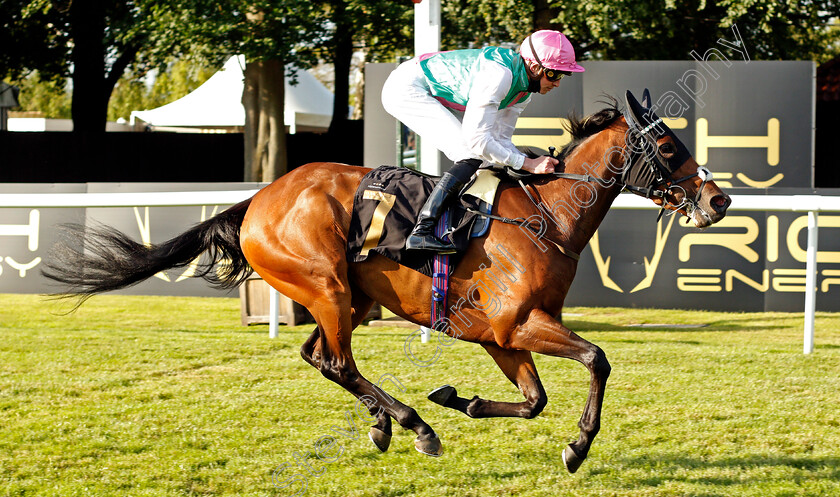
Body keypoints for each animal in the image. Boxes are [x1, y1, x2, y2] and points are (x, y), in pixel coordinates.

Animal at [46, 90, 728, 472]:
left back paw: (386, 421)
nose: (718, 200)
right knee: (337, 362)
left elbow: (534, 400)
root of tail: (258, 200)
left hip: (343, 298)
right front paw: (578, 446)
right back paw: (413, 427)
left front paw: (463, 399)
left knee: (317, 356)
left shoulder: (500, 335)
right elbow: (597, 358)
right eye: (670, 148)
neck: (544, 216)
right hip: (326, 286)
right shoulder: (516, 323)